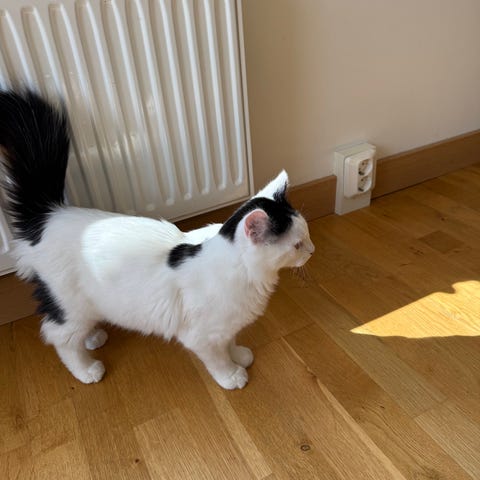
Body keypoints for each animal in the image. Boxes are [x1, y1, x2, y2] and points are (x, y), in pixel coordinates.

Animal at [0, 89, 314, 389]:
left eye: (307, 236)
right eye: (297, 244)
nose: (312, 250)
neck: (246, 274)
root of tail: (49, 214)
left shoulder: (226, 326)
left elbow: (230, 340)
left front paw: (239, 355)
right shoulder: (201, 336)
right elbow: (217, 358)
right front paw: (231, 375)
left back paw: (92, 337)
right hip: (70, 304)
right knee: (59, 336)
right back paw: (86, 369)